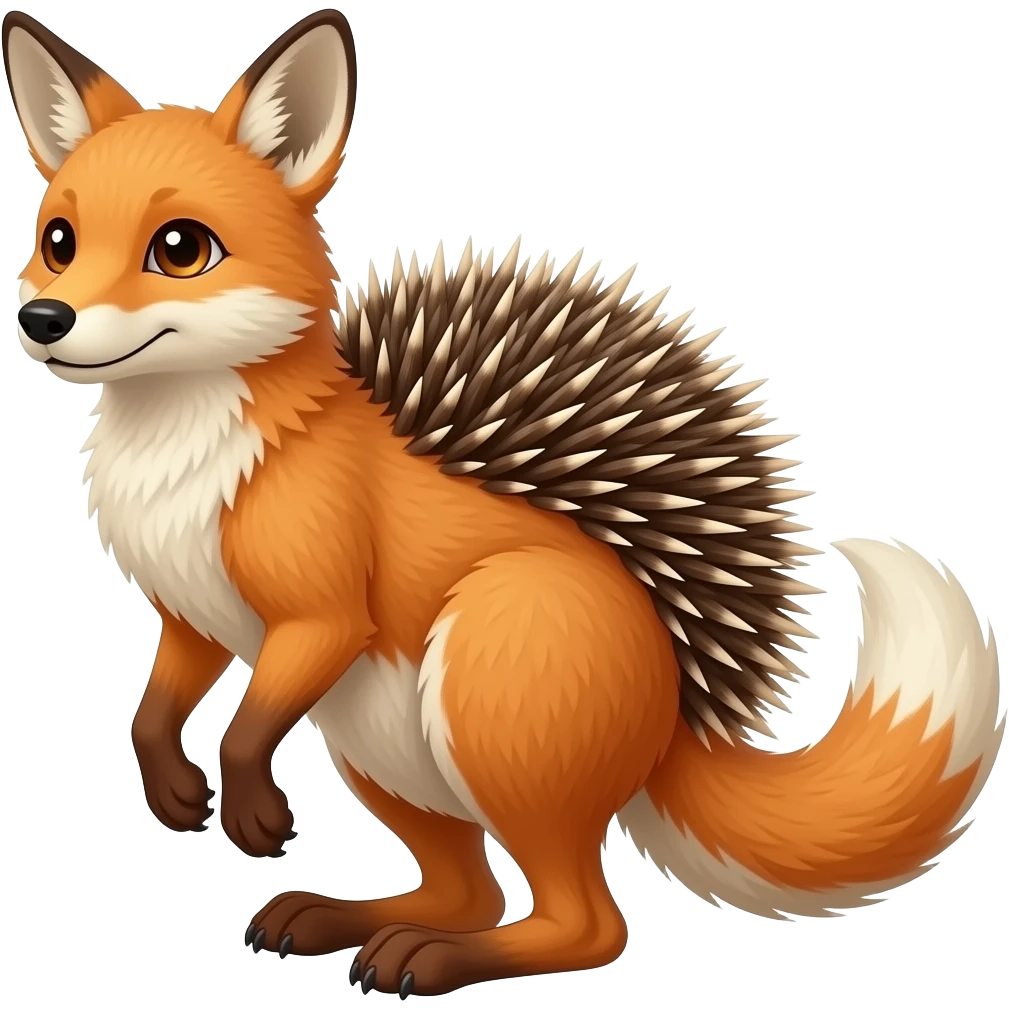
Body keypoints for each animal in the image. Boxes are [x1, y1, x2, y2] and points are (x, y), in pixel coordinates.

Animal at [5, 7, 1006, 997]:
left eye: (179, 247)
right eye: (58, 241)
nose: (42, 321)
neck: (183, 458)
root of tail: (676, 714)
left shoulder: (321, 616)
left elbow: (249, 730)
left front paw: (249, 810)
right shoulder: (192, 614)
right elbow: (150, 712)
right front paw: (173, 789)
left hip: (486, 684)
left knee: (586, 923)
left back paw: (433, 957)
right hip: (371, 744)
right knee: (472, 892)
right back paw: (348, 919)